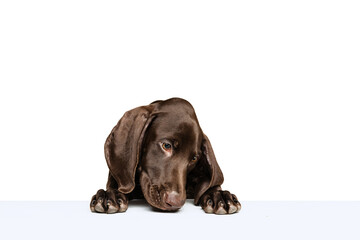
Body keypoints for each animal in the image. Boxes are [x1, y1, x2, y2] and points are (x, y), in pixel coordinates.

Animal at [90, 97, 242, 214]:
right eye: (166, 145)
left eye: (194, 159)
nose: (175, 203)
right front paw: (108, 195)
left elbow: (212, 183)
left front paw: (220, 196)